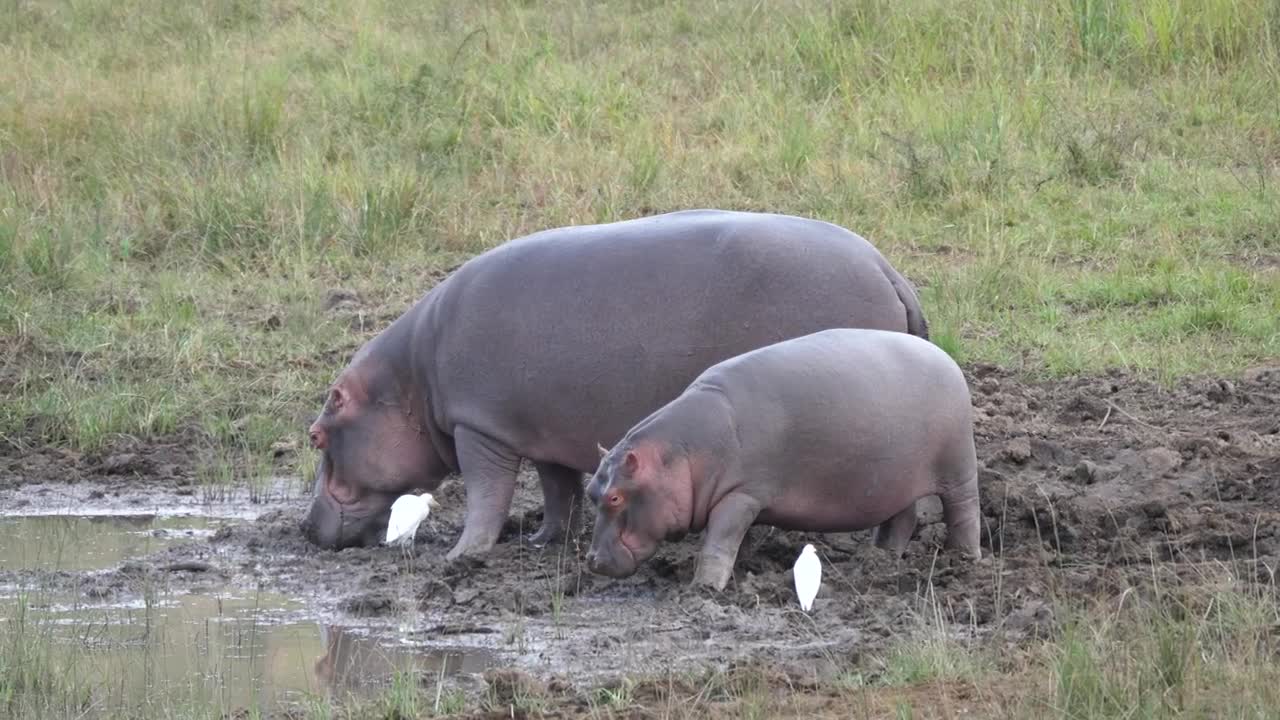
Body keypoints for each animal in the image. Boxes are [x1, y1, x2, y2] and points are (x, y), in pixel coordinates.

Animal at [305, 204, 936, 558]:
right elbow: (558, 493)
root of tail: (890, 271)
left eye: (318, 434)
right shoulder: (543, 431)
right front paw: (541, 542)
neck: (411, 382)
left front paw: (463, 555)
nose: (307, 529)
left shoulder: (480, 428)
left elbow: (488, 493)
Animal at [586, 325, 977, 589]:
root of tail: (946, 357)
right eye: (591, 492)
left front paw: (705, 588)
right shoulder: (740, 502)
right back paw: (881, 559)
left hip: (958, 467)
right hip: (896, 478)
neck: (680, 454)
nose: (591, 560)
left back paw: (966, 560)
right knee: (900, 520)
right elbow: (734, 541)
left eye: (615, 497)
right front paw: (740, 571)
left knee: (964, 512)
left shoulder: (741, 495)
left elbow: (718, 542)